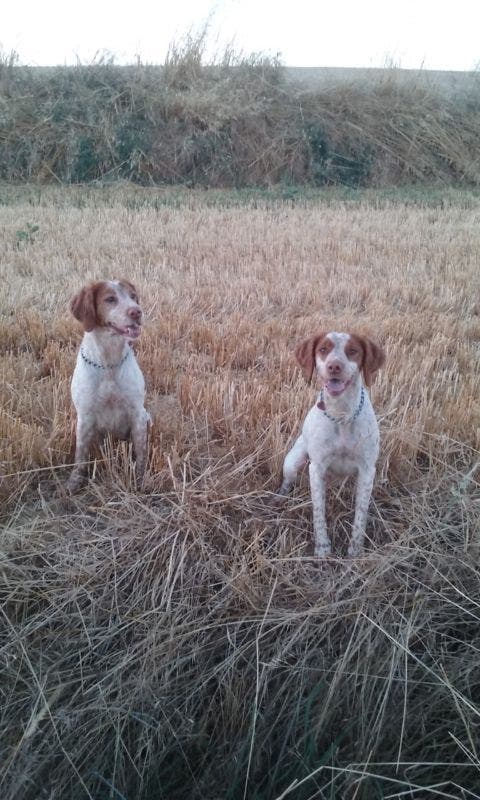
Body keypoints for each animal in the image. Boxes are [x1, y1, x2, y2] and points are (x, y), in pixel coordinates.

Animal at [67, 282, 150, 494]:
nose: (137, 312)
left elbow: (141, 452)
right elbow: (80, 455)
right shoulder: (84, 416)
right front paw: (74, 480)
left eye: (133, 296)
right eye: (110, 299)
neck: (108, 363)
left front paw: (140, 479)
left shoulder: (137, 413)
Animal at [278, 332, 386, 556]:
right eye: (323, 349)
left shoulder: (367, 471)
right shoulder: (316, 468)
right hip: (293, 462)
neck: (341, 415)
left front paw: (355, 551)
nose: (334, 366)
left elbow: (360, 515)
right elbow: (318, 512)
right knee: (287, 481)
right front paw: (322, 548)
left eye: (352, 351)